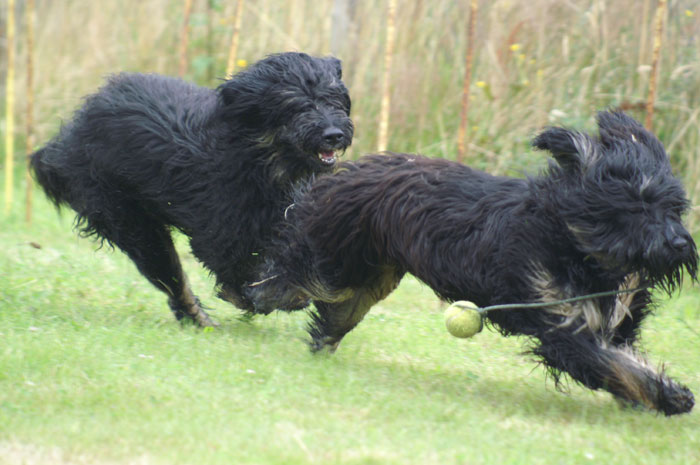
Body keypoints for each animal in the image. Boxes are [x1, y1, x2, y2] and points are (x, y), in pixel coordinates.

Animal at [30, 51, 352, 326]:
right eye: (297, 104)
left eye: (334, 99)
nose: (333, 134)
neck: (266, 165)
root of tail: (66, 140)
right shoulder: (219, 236)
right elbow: (242, 272)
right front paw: (270, 297)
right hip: (127, 219)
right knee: (170, 276)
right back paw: (198, 316)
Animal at [246, 111, 696, 414]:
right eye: (637, 204)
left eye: (674, 205)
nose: (679, 244)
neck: (577, 243)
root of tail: (346, 170)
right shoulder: (561, 323)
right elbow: (611, 364)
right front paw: (670, 395)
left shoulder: (611, 324)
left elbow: (623, 361)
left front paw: (650, 395)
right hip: (337, 256)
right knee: (293, 275)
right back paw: (254, 295)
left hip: (369, 277)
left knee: (332, 315)